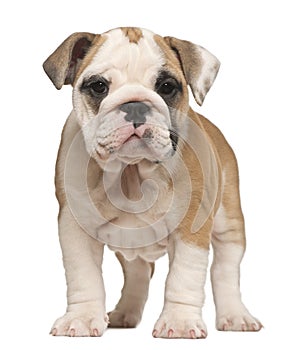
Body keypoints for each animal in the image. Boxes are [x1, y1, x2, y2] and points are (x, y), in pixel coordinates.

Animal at [42, 26, 262, 338]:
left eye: (167, 87)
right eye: (98, 86)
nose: (135, 105)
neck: (131, 173)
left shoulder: (192, 227)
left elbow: (184, 276)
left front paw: (180, 322)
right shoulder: (74, 227)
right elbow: (83, 274)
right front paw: (82, 318)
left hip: (228, 222)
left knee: (226, 269)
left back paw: (236, 316)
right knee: (138, 273)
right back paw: (125, 313)